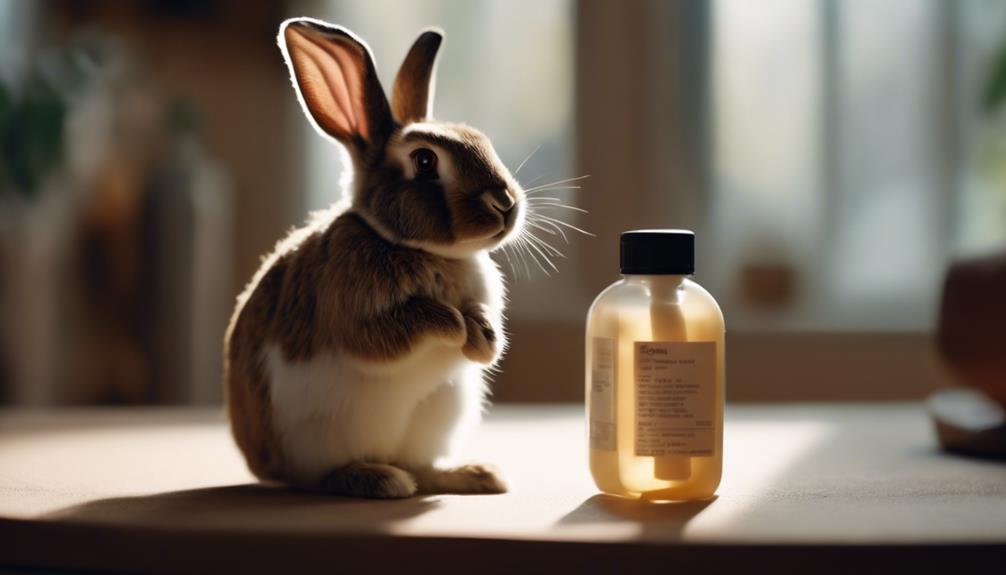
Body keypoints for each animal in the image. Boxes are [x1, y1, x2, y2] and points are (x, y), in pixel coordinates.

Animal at [223, 17, 525, 498]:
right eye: (425, 161)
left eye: (481, 140)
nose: (506, 203)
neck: (414, 247)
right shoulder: (353, 308)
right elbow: (394, 331)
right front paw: (455, 325)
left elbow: (484, 323)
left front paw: (481, 337)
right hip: (315, 438)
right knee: (322, 476)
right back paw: (379, 479)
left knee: (423, 468)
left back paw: (476, 475)